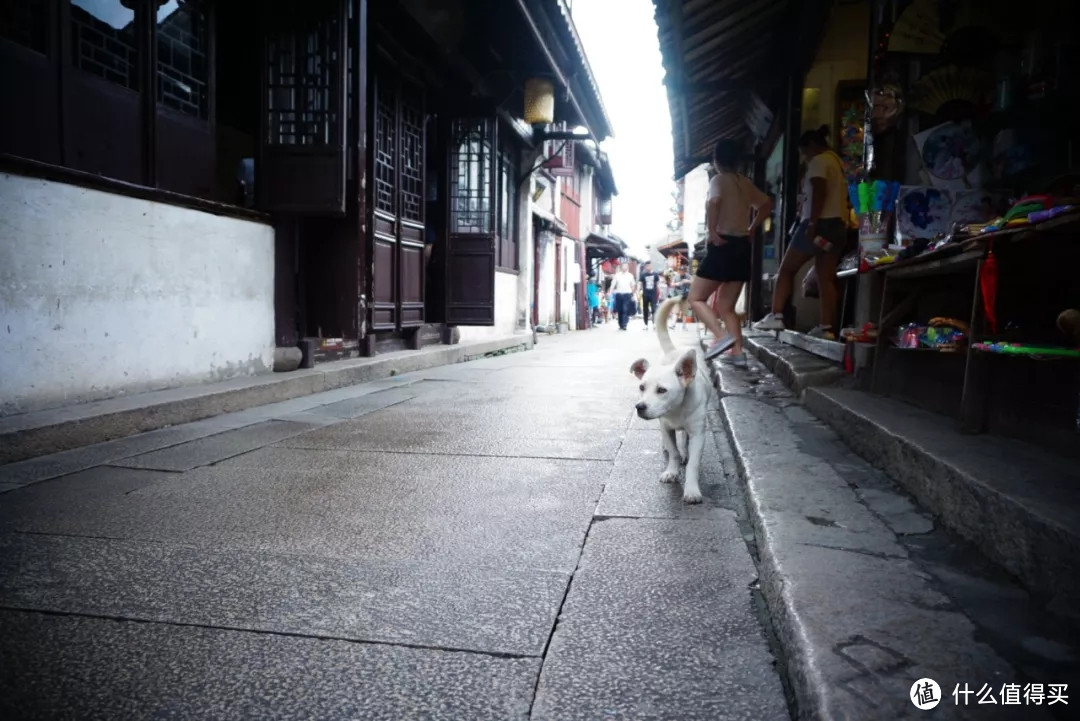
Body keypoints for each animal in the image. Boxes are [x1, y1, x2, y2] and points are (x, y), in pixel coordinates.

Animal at [630, 293, 712, 500]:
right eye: (642, 387)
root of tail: (674, 352)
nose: (640, 407)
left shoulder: (698, 433)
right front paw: (672, 471)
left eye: (661, 390)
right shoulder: (666, 428)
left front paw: (691, 489)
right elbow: (673, 452)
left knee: (684, 439)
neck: (677, 410)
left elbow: (693, 463)